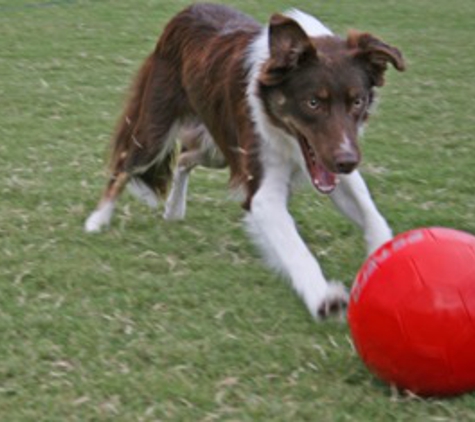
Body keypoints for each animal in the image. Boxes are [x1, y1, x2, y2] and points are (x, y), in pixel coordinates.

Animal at [84, 4, 406, 320]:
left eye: (357, 101)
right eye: (313, 103)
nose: (347, 162)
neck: (285, 135)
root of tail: (185, 11)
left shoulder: (334, 165)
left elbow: (372, 214)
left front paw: (384, 257)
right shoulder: (264, 191)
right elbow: (295, 248)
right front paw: (323, 297)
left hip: (217, 149)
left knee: (184, 158)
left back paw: (174, 209)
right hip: (154, 133)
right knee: (124, 166)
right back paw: (98, 219)